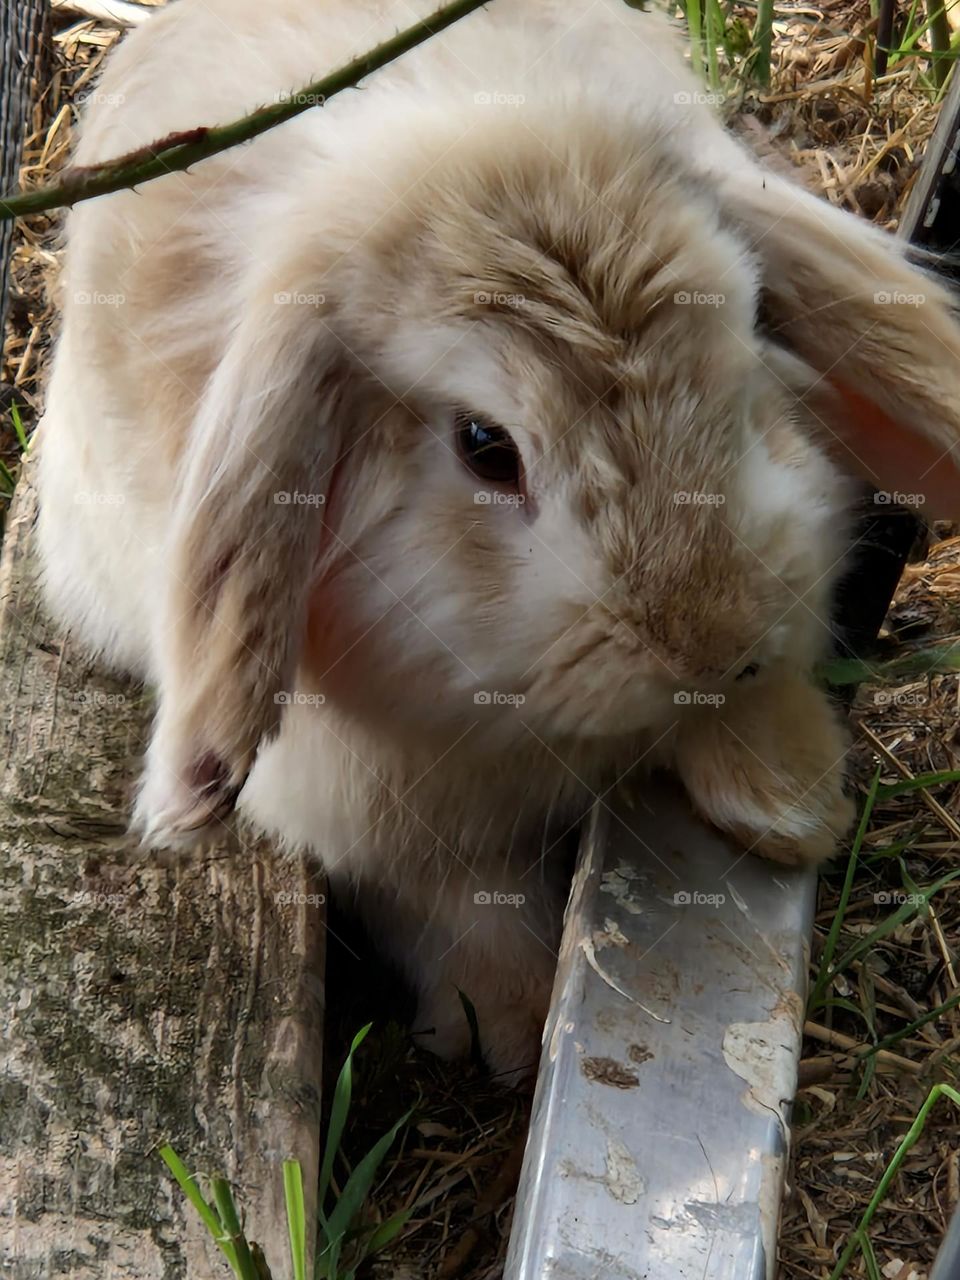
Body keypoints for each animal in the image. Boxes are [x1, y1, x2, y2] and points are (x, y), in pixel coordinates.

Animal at [37, 0, 960, 1080]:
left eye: (748, 345)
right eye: (486, 446)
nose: (709, 644)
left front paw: (793, 803)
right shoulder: (383, 813)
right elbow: (460, 904)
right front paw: (510, 1028)